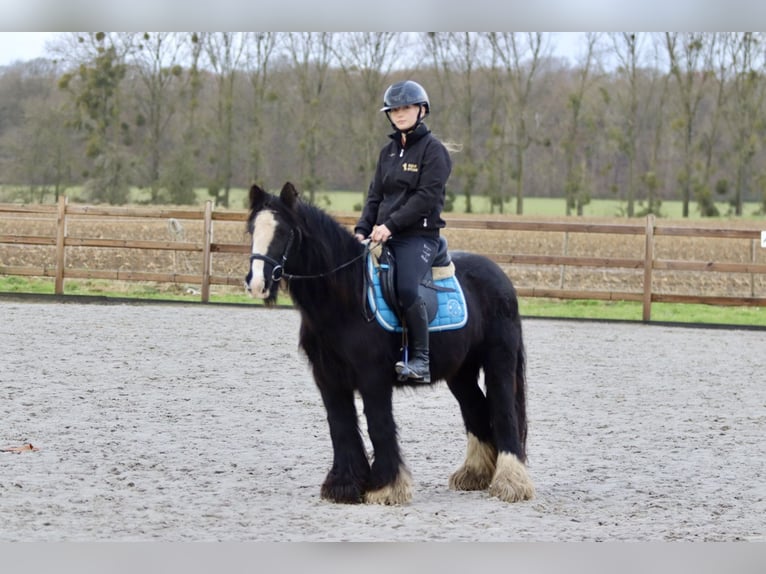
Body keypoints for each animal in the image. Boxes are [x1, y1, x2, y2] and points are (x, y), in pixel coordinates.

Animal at [246, 182, 536, 506]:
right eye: (251, 230)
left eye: (285, 232)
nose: (257, 283)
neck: (346, 298)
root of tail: (501, 278)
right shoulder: (328, 379)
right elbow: (340, 426)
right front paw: (343, 485)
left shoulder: (373, 377)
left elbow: (379, 424)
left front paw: (385, 486)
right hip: (460, 373)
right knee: (476, 410)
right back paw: (475, 474)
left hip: (499, 362)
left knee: (503, 412)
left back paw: (510, 482)